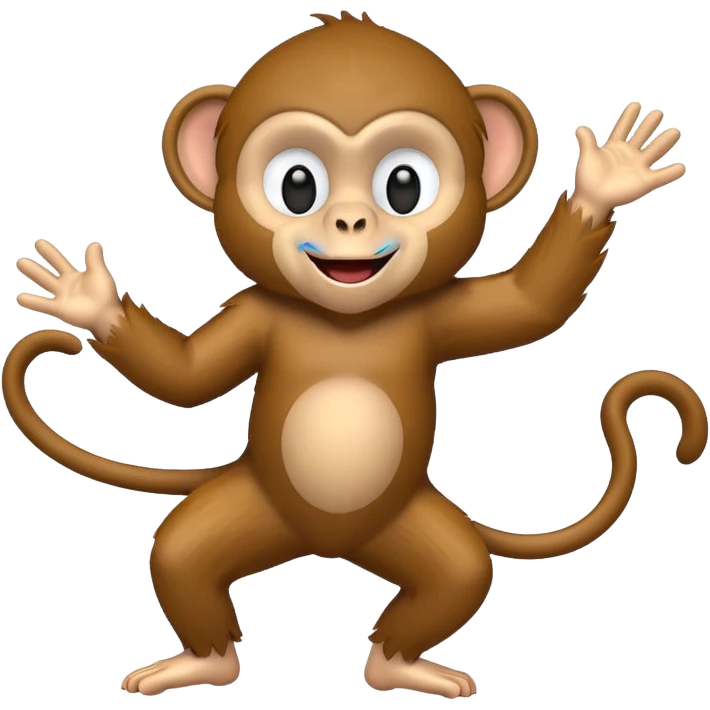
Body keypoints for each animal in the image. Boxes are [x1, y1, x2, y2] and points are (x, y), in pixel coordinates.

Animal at [2, 10, 707, 700]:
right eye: (296, 184)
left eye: (404, 184)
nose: (349, 223)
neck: (346, 320)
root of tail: (327, 545)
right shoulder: (255, 314)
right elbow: (189, 378)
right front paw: (92, 301)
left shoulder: (438, 314)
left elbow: (531, 306)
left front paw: (607, 180)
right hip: (251, 510)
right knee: (179, 554)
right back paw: (204, 663)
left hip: (411, 532)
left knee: (460, 575)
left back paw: (399, 668)